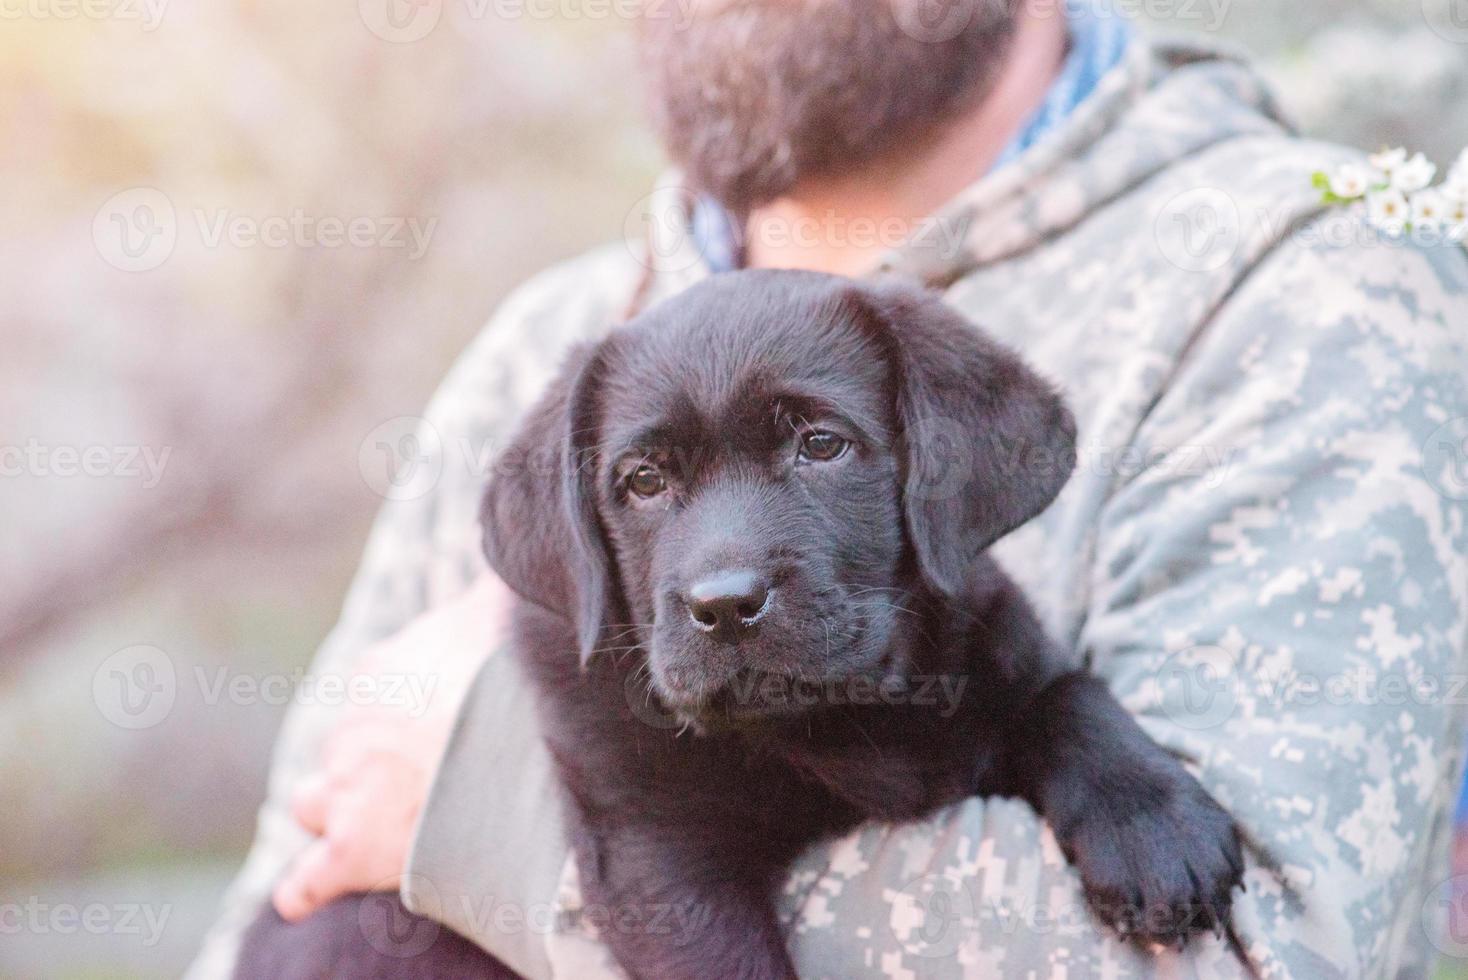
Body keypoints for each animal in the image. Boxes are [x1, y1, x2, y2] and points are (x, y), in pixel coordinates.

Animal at [234, 269, 1244, 979]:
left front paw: (1157, 831)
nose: (723, 605)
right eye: (644, 481)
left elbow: (1066, 693)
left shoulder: (994, 641)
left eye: (822, 444)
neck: (837, 717)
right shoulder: (658, 856)